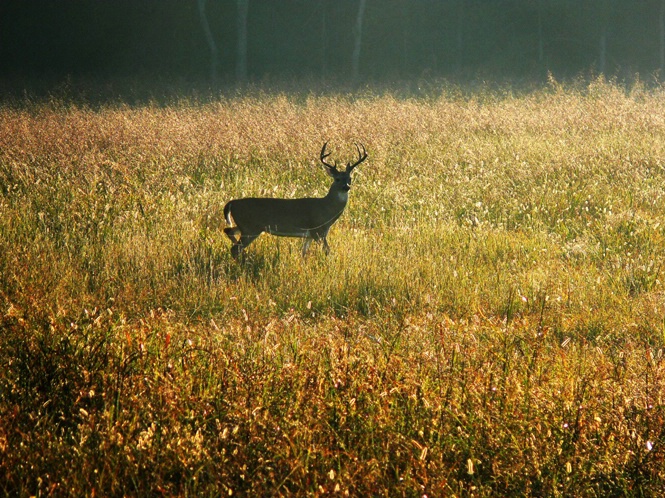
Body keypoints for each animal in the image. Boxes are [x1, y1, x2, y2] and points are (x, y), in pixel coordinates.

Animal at [224, 140, 368, 256]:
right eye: (337, 179)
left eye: (350, 178)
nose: (346, 187)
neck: (326, 209)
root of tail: (232, 203)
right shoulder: (317, 230)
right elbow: (328, 251)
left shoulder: (310, 235)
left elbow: (303, 253)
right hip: (250, 227)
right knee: (235, 249)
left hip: (245, 226)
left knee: (228, 231)